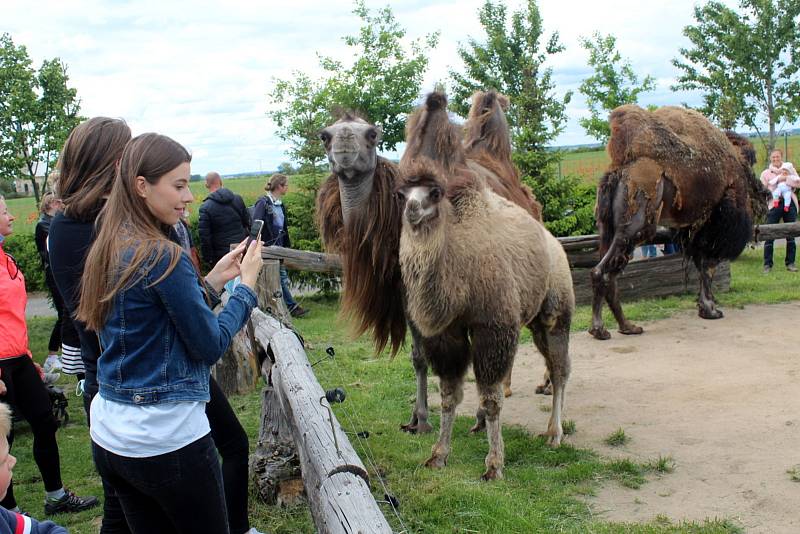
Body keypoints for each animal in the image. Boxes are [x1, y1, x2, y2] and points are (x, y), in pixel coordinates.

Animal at [588, 104, 768, 340]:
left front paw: (705, 309)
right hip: (636, 227)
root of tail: (620, 169)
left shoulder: (694, 229)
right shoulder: (714, 227)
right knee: (602, 271)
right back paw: (601, 330)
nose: (765, 195)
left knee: (609, 273)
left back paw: (626, 327)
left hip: (607, 227)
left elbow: (701, 264)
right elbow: (708, 266)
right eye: (750, 166)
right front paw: (711, 310)